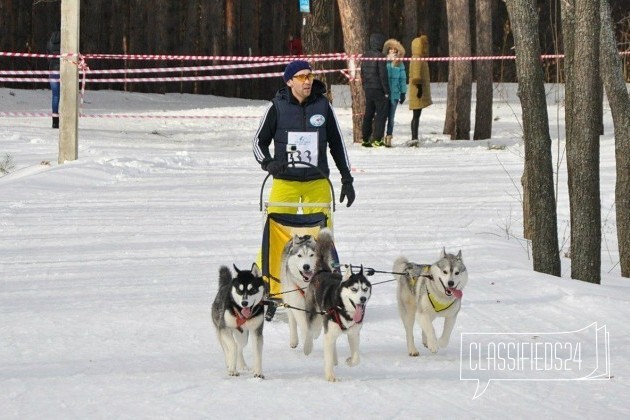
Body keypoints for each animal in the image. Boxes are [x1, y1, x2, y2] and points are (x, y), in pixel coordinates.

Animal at [304, 228, 372, 382]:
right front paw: (330, 376)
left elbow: (357, 358)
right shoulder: (329, 332)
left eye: (365, 289)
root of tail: (322, 271)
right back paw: (307, 348)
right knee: (311, 332)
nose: (362, 299)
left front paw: (349, 361)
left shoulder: (354, 333)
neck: (344, 310)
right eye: (354, 289)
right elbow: (327, 358)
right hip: (315, 318)